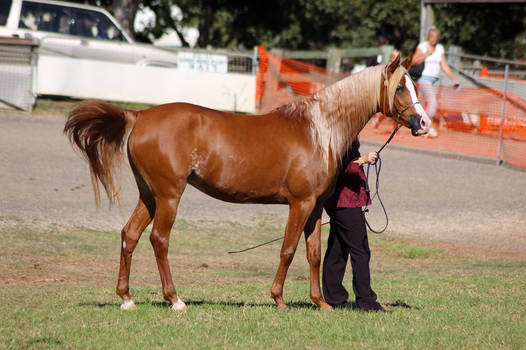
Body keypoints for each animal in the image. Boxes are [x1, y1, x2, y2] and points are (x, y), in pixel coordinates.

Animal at [64, 52, 432, 312]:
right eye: (401, 86)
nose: (424, 123)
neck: (318, 130)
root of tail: (138, 115)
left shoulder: (314, 209)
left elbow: (313, 254)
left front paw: (321, 303)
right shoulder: (299, 204)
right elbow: (287, 250)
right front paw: (279, 300)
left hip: (149, 195)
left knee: (130, 235)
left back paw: (126, 298)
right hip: (168, 195)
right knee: (159, 240)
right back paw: (175, 299)